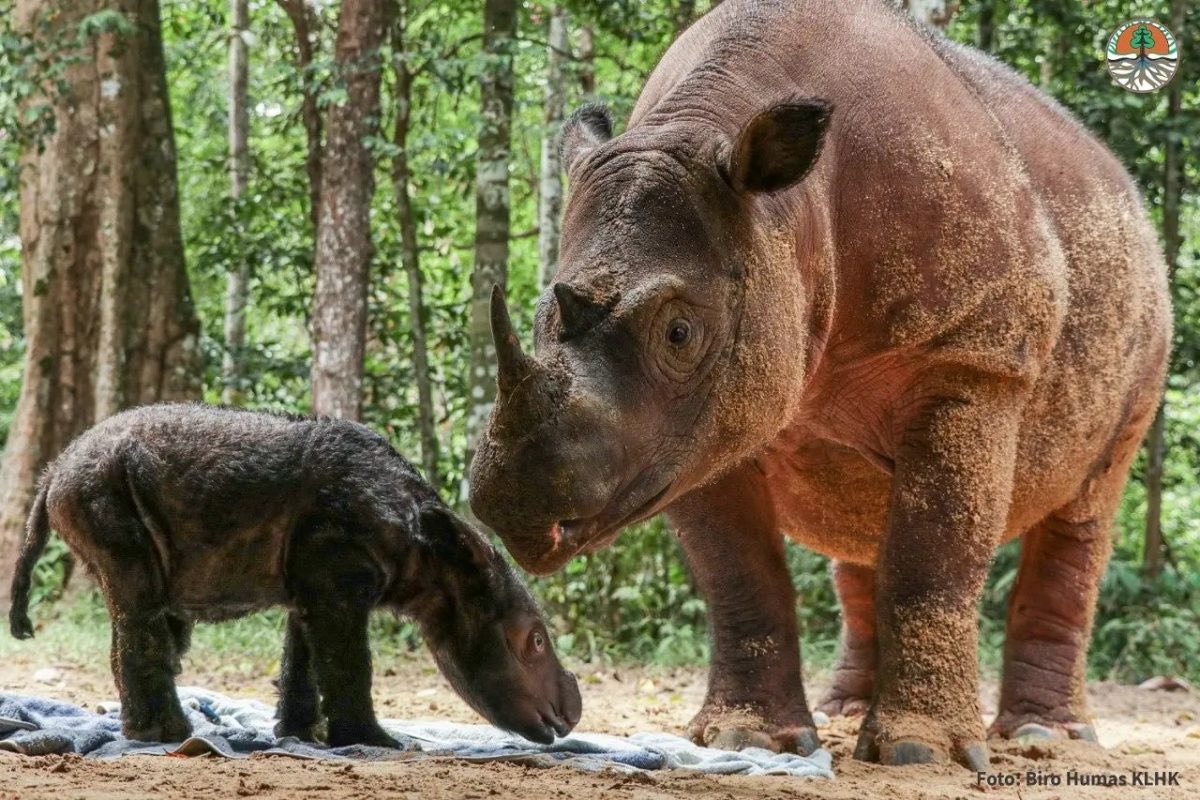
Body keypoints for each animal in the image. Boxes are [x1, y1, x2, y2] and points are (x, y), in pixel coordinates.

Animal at [9, 404, 581, 748]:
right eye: (534, 642)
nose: (572, 714)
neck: (435, 557)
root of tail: (52, 472)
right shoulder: (337, 568)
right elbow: (349, 661)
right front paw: (379, 743)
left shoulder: (317, 576)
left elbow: (305, 657)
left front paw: (307, 737)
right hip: (99, 488)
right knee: (139, 598)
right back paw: (168, 735)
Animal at [469, 0, 1171, 769]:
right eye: (540, 316)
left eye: (679, 333)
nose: (511, 502)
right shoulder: (703, 427)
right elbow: (738, 572)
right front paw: (749, 737)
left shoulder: (973, 359)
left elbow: (935, 555)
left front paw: (920, 753)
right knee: (863, 526)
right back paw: (849, 711)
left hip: (1145, 318)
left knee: (1085, 508)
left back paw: (1046, 738)